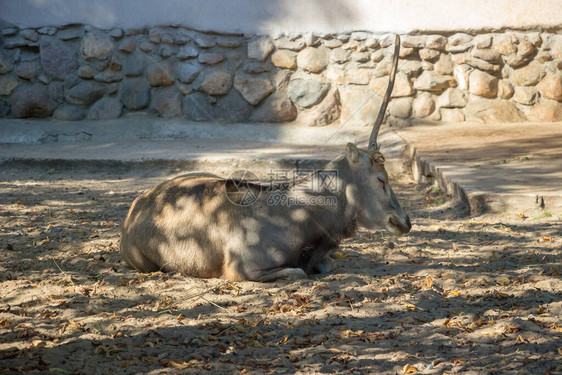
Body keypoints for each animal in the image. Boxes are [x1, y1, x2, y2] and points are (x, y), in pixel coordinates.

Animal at [120, 36, 410, 282]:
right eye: (380, 179)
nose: (404, 221)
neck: (297, 215)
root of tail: (133, 210)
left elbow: (327, 264)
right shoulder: (242, 269)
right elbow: (298, 272)